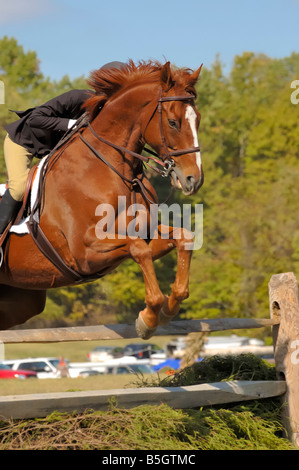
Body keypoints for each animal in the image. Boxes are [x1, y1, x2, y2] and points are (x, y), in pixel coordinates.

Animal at [0, 60, 204, 338]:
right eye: (173, 123)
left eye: (198, 120)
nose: (194, 179)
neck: (113, 169)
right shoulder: (84, 252)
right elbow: (138, 250)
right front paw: (149, 319)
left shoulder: (144, 234)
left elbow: (183, 238)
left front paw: (169, 308)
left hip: (22, 298)